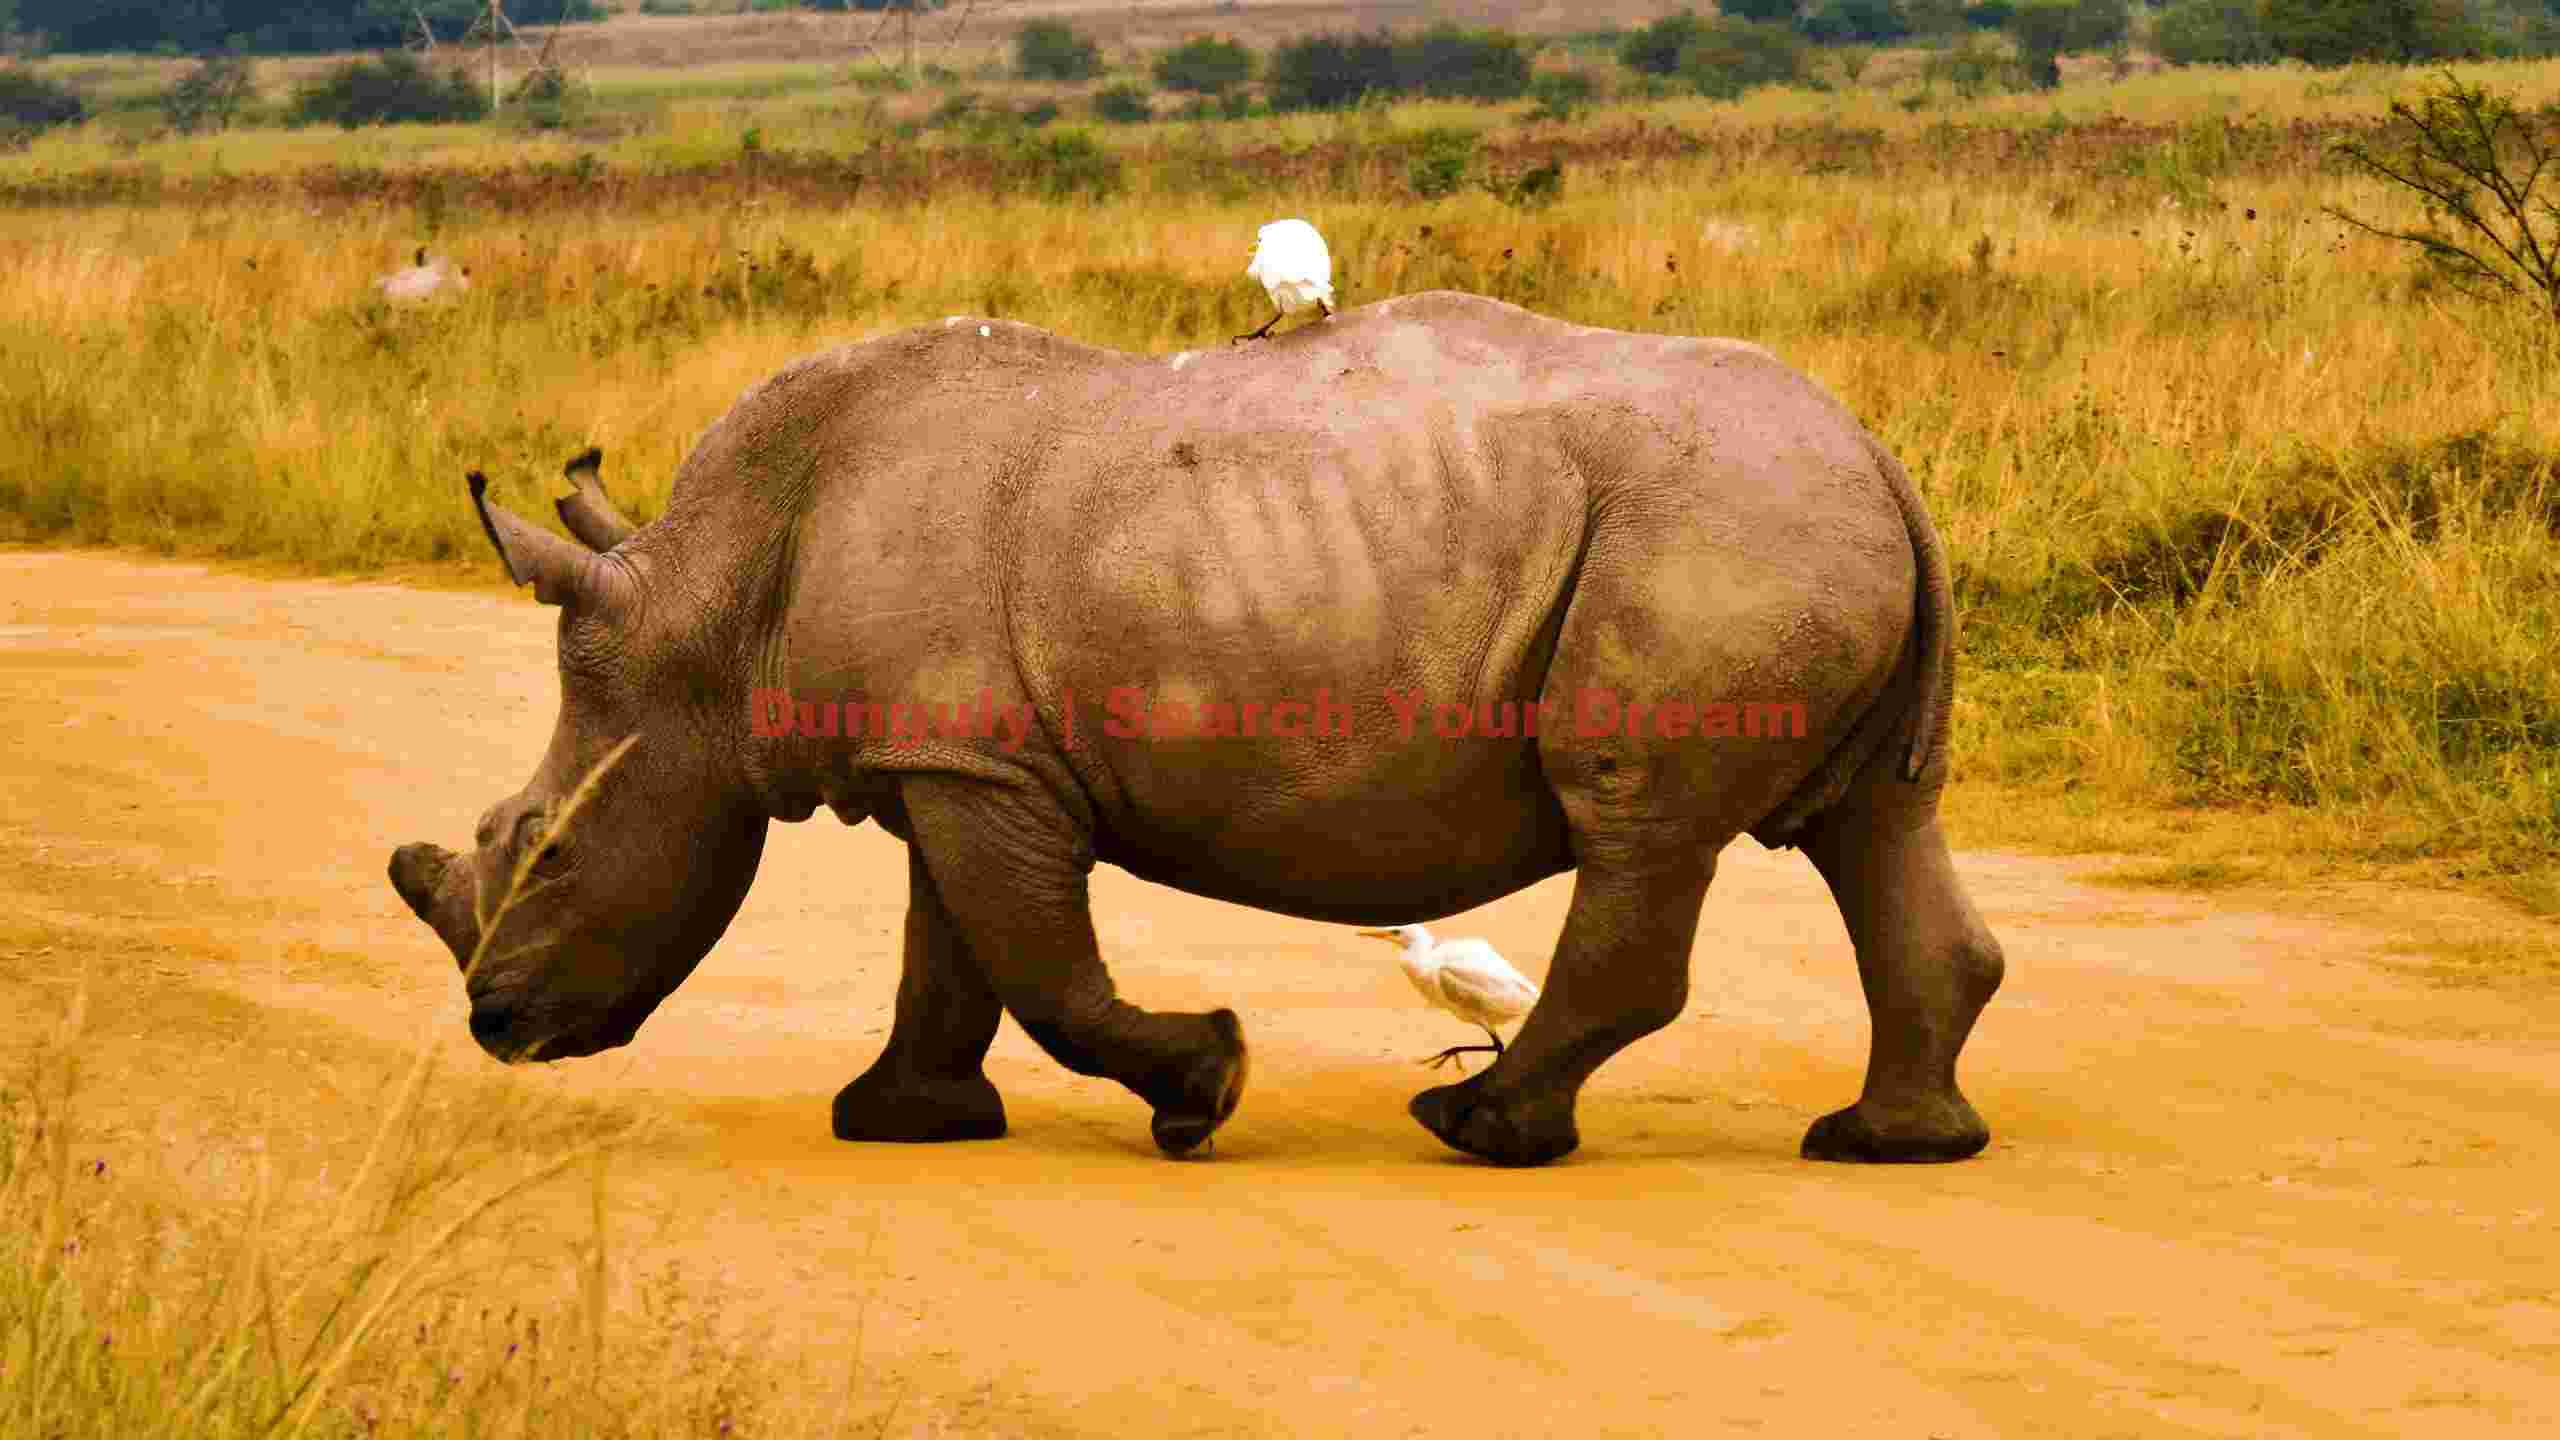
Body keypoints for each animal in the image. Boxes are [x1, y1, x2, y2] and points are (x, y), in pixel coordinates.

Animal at [388, 292, 2005, 1168]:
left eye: (539, 849)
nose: (494, 1028)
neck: (709, 613)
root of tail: (1876, 451)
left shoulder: (975, 765)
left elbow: (1039, 969)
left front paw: (1206, 1088)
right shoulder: (953, 756)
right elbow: (950, 953)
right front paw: (900, 1121)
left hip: (1718, 529)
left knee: (1640, 830)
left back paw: (1475, 1131)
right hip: (1781, 522)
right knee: (1873, 824)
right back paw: (1888, 1145)